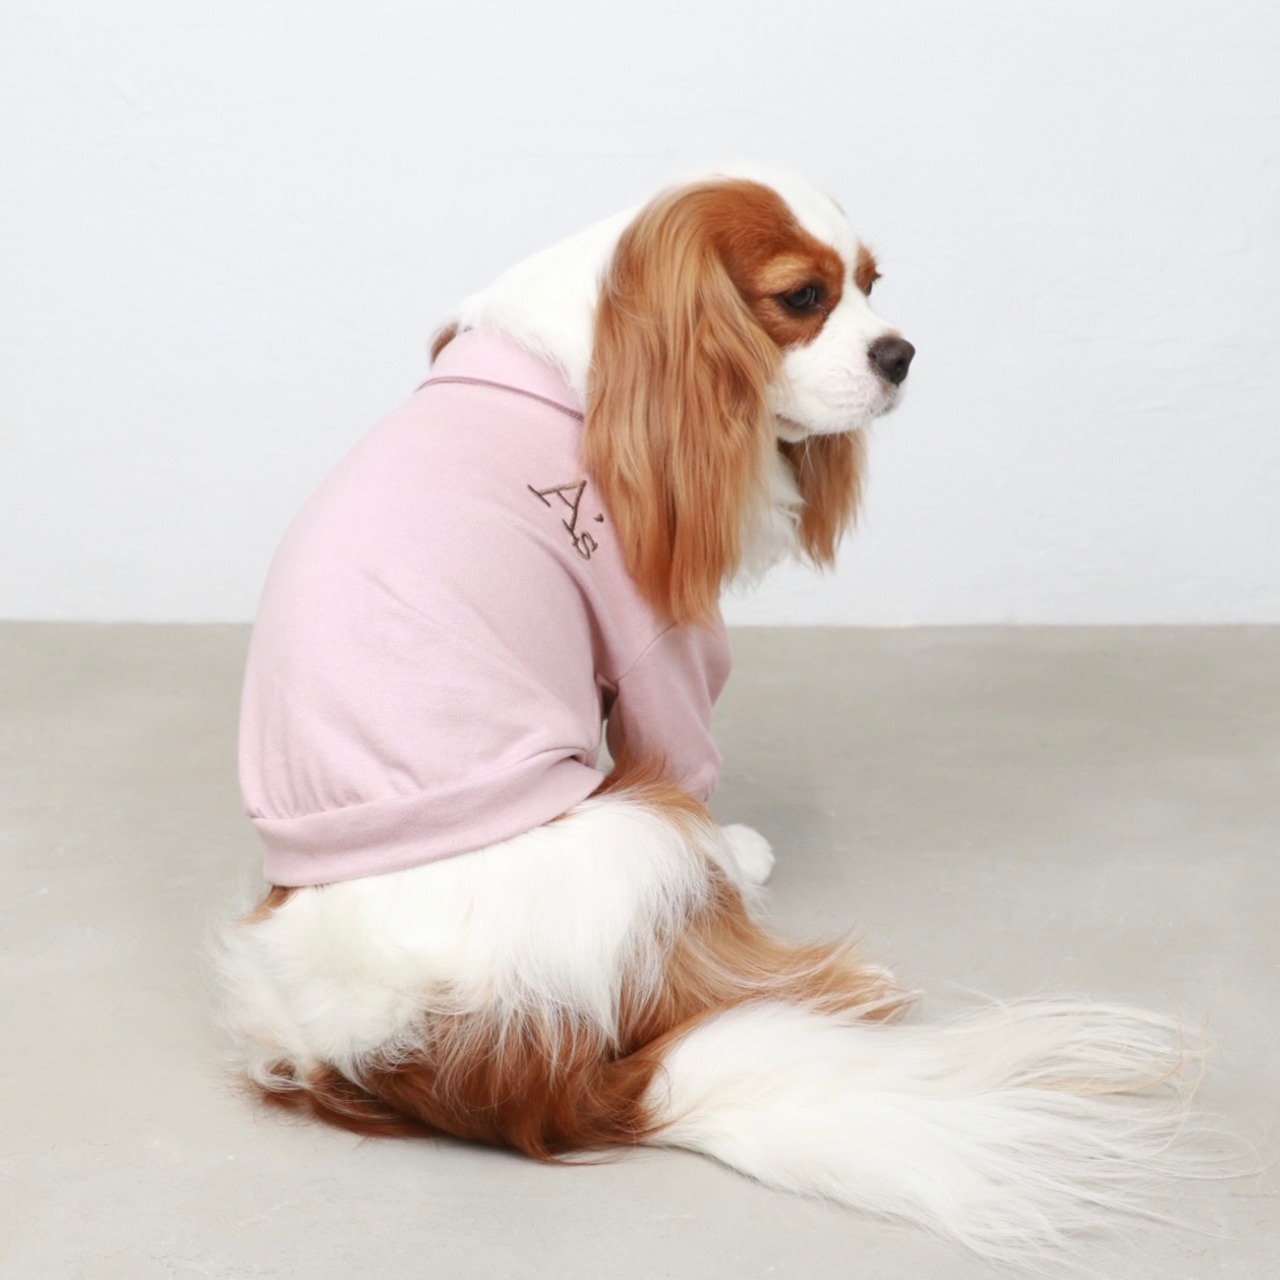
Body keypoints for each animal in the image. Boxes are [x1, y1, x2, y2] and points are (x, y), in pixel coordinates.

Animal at [218, 170, 1200, 1267]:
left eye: (872, 284)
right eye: (801, 298)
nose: (900, 352)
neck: (595, 356)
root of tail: (394, 1047)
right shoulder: (655, 637)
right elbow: (687, 748)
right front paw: (737, 849)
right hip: (637, 830)